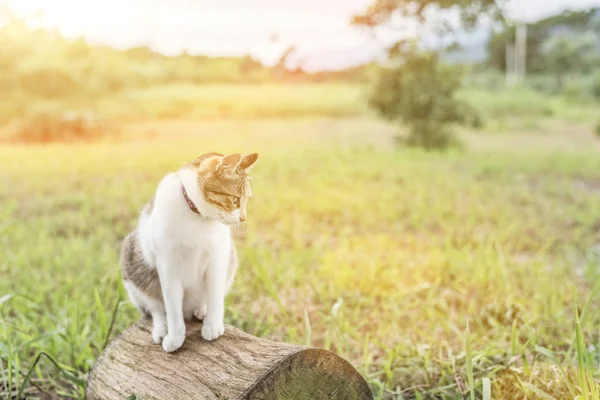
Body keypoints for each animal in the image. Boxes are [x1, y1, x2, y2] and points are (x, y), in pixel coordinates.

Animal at [121, 153, 258, 354]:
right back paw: (161, 328)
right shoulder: (167, 265)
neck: (196, 217)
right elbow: (171, 308)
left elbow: (215, 294)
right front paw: (175, 336)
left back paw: (201, 309)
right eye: (235, 200)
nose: (243, 218)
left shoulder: (218, 257)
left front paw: (212, 324)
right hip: (131, 260)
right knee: (155, 308)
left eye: (247, 200)